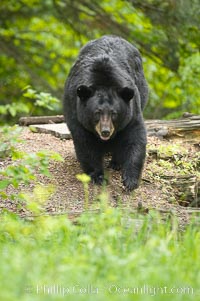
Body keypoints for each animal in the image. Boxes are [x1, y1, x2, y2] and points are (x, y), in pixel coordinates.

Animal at [63, 35, 148, 190]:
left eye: (114, 113)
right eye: (97, 112)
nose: (105, 131)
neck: (104, 81)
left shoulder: (132, 111)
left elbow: (135, 137)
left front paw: (130, 179)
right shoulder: (76, 111)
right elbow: (85, 143)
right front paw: (98, 176)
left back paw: (116, 162)